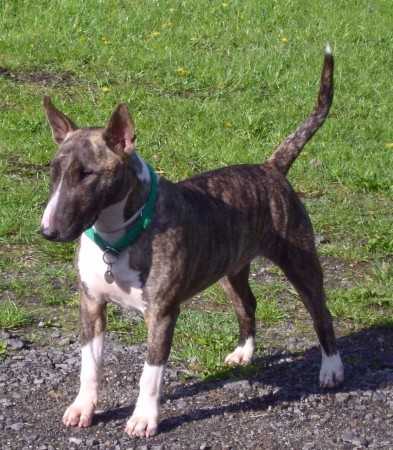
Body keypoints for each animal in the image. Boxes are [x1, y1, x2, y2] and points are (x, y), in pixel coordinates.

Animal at [39, 47, 340, 438]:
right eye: (53, 171)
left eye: (87, 174)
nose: (48, 231)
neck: (115, 238)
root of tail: (270, 168)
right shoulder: (90, 304)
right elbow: (89, 365)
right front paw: (82, 408)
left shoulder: (162, 313)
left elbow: (150, 374)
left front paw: (143, 418)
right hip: (231, 267)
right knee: (248, 304)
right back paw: (243, 353)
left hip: (300, 262)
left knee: (321, 313)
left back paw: (332, 369)